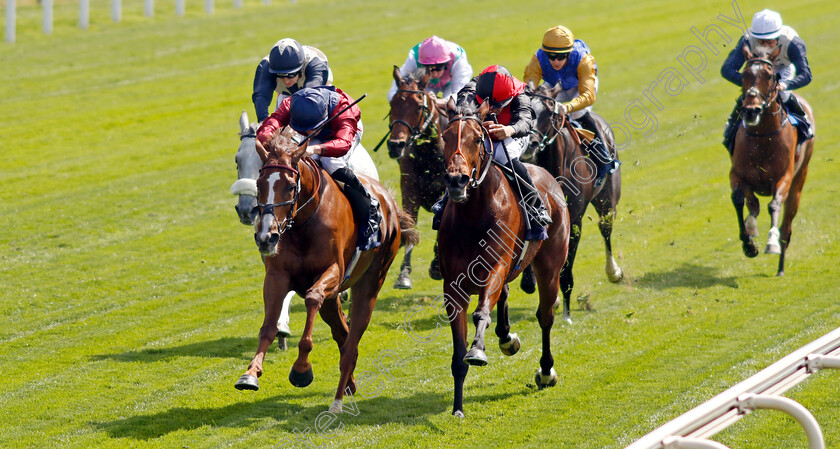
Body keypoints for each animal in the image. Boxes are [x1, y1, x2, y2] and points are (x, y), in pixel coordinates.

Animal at [235, 127, 418, 412]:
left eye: (290, 186)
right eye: (259, 185)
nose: (266, 236)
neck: (303, 223)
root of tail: (389, 202)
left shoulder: (332, 272)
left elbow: (312, 298)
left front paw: (301, 369)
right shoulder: (277, 277)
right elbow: (268, 326)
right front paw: (250, 373)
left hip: (370, 282)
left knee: (352, 340)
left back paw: (338, 400)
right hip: (334, 300)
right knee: (343, 334)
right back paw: (349, 385)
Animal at [440, 101, 572, 416]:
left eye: (478, 139)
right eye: (444, 137)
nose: (456, 180)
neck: (472, 216)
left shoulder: (496, 266)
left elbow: (481, 313)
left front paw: (477, 349)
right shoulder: (453, 286)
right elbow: (458, 352)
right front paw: (458, 407)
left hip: (549, 268)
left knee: (545, 316)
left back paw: (546, 371)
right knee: (506, 299)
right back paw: (506, 338)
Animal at [524, 83, 624, 322]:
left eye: (550, 111)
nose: (530, 145)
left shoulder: (575, 221)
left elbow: (566, 270)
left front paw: (566, 314)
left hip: (607, 200)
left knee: (605, 229)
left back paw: (614, 272)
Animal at [732, 46, 812, 276]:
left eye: (769, 76)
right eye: (744, 74)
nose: (751, 110)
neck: (763, 138)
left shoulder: (784, 177)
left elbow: (774, 205)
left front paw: (771, 243)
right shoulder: (737, 174)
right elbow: (739, 199)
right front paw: (749, 244)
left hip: (798, 183)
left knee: (787, 227)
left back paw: (781, 266)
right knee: (753, 205)